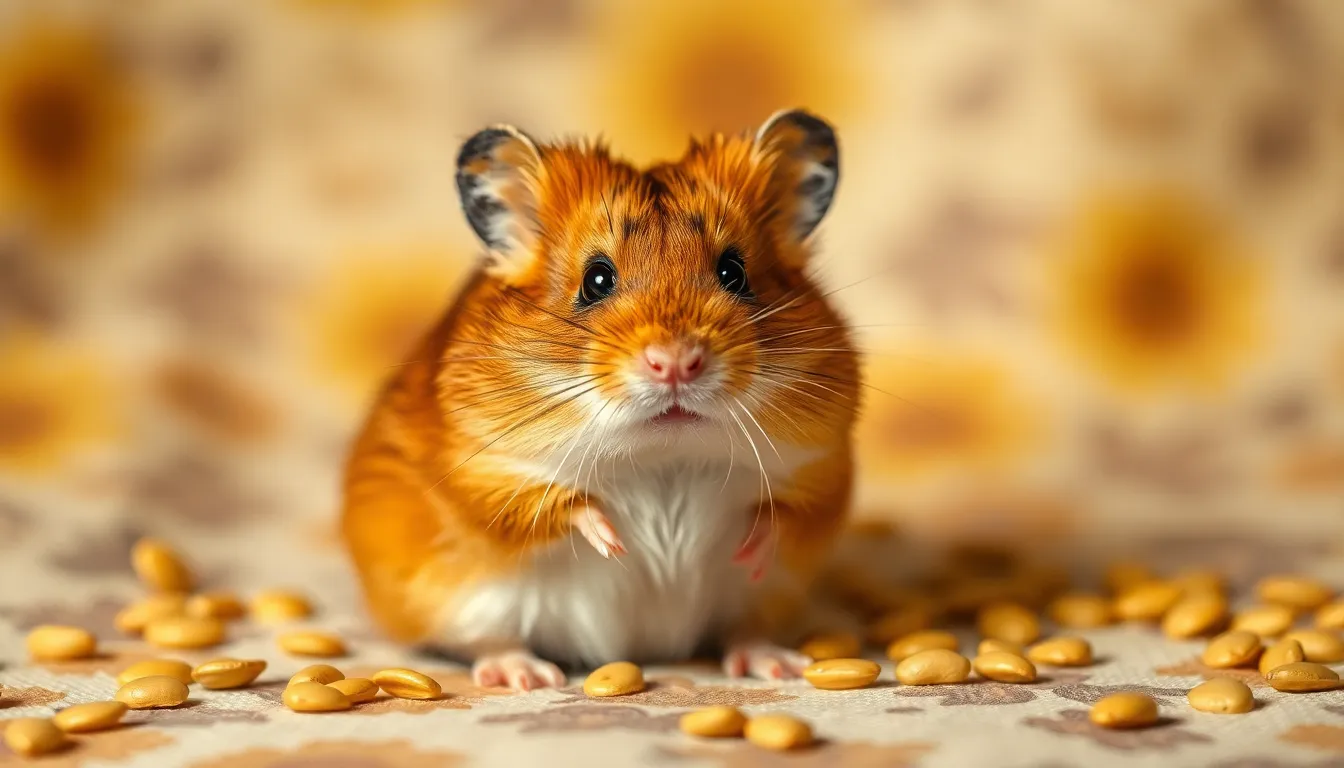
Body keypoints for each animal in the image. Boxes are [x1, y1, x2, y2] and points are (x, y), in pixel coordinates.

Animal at [340, 108, 861, 690]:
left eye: (734, 272)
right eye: (596, 280)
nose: (675, 362)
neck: (665, 456)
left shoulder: (825, 467)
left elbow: (786, 511)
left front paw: (748, 548)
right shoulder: (479, 469)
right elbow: (557, 504)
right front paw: (617, 545)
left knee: (745, 628)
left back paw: (775, 664)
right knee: (490, 641)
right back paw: (526, 676)